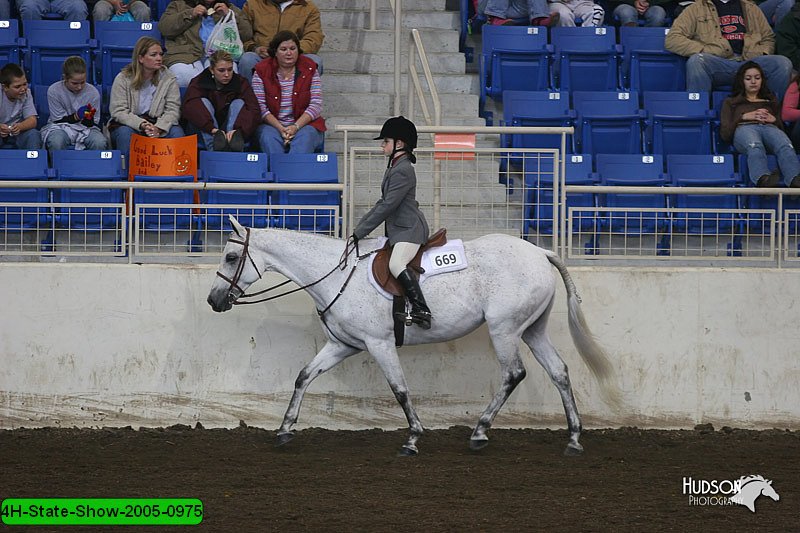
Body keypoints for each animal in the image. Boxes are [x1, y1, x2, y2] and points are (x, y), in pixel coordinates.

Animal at [206, 218, 620, 456]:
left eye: (230, 257)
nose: (213, 301)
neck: (334, 273)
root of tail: (539, 251)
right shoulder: (343, 345)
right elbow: (304, 376)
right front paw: (285, 429)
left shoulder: (378, 344)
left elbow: (400, 389)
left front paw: (413, 438)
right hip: (532, 330)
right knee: (559, 372)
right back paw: (573, 439)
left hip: (504, 330)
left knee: (513, 374)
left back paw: (479, 433)